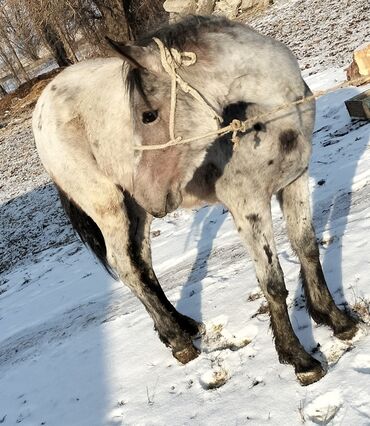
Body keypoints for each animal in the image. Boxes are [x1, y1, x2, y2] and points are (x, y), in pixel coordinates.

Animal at [33, 15, 356, 386]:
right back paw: (178, 342)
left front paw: (336, 319)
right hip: (110, 208)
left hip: (137, 211)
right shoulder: (248, 206)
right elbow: (272, 282)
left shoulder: (294, 181)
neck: (270, 120)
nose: (151, 192)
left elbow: (307, 248)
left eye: (147, 115)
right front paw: (299, 358)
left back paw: (182, 326)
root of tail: (43, 104)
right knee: (125, 265)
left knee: (142, 263)